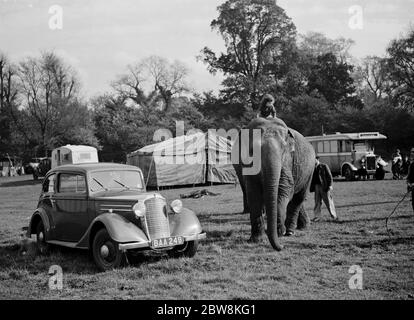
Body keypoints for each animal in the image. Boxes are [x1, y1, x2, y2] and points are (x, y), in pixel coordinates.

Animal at [231, 116, 316, 251]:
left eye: (283, 149)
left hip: (310, 170)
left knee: (299, 197)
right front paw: (256, 240)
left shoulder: (287, 161)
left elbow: (284, 188)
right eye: (252, 151)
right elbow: (253, 193)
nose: (282, 247)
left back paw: (291, 231)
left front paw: (279, 232)